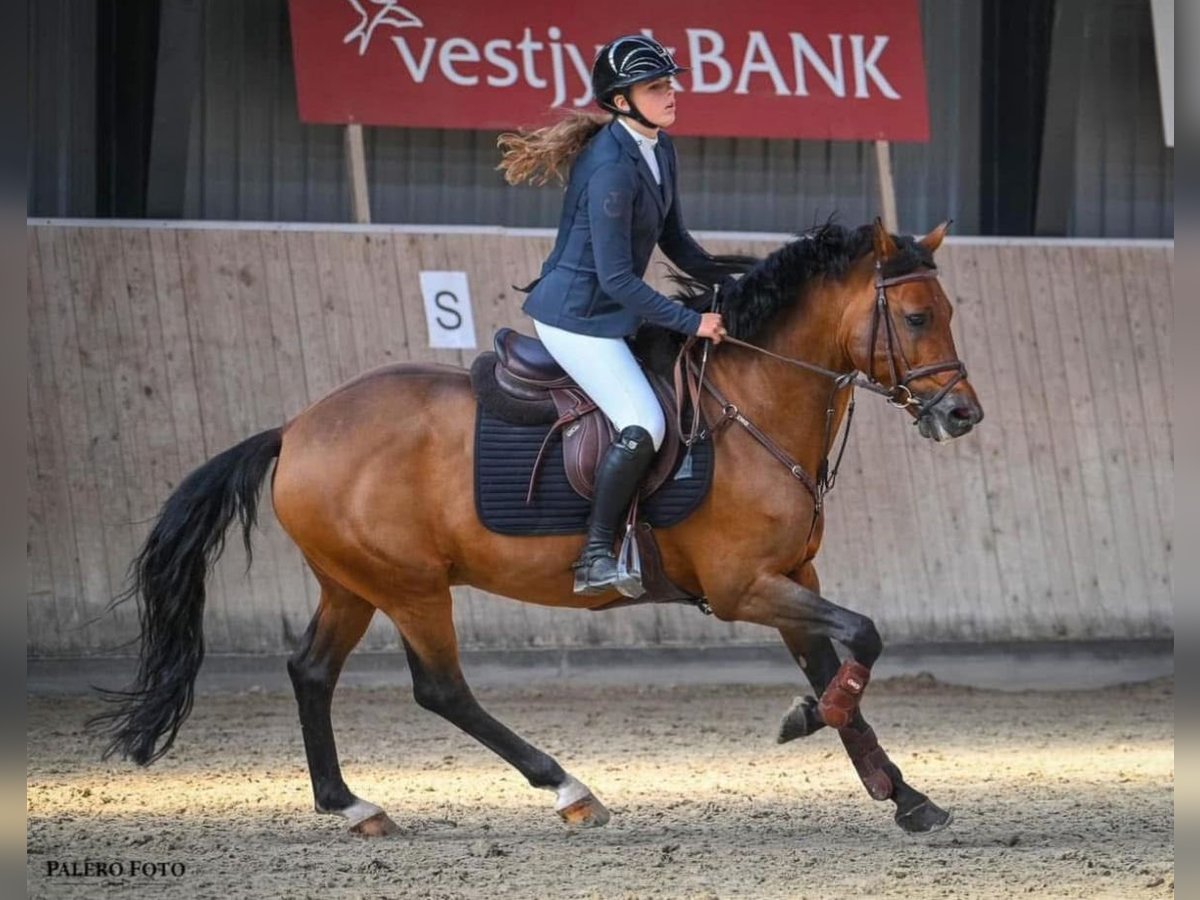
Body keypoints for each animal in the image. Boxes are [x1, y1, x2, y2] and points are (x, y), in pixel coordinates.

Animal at [87, 218, 984, 840]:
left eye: (945, 311)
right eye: (913, 317)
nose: (962, 415)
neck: (753, 402)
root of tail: (297, 428)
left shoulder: (794, 578)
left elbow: (844, 672)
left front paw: (905, 797)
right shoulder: (743, 589)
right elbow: (862, 639)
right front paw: (806, 721)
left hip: (353, 582)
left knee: (311, 671)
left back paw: (350, 806)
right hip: (410, 586)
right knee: (440, 689)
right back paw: (569, 791)